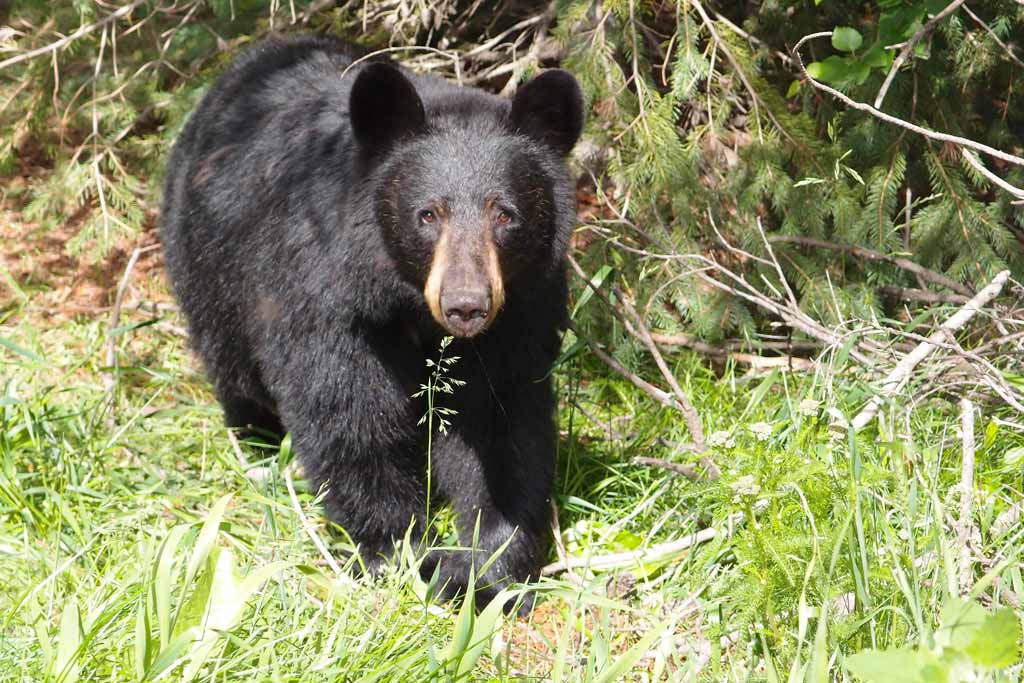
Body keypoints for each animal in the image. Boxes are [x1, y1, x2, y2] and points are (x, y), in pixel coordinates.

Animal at [161, 34, 585, 606]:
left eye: (506, 214)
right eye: (427, 214)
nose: (466, 304)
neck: (403, 299)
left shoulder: (519, 312)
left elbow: (502, 423)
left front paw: (487, 565)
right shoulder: (325, 293)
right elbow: (350, 413)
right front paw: (399, 554)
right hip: (208, 268)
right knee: (234, 369)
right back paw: (256, 444)